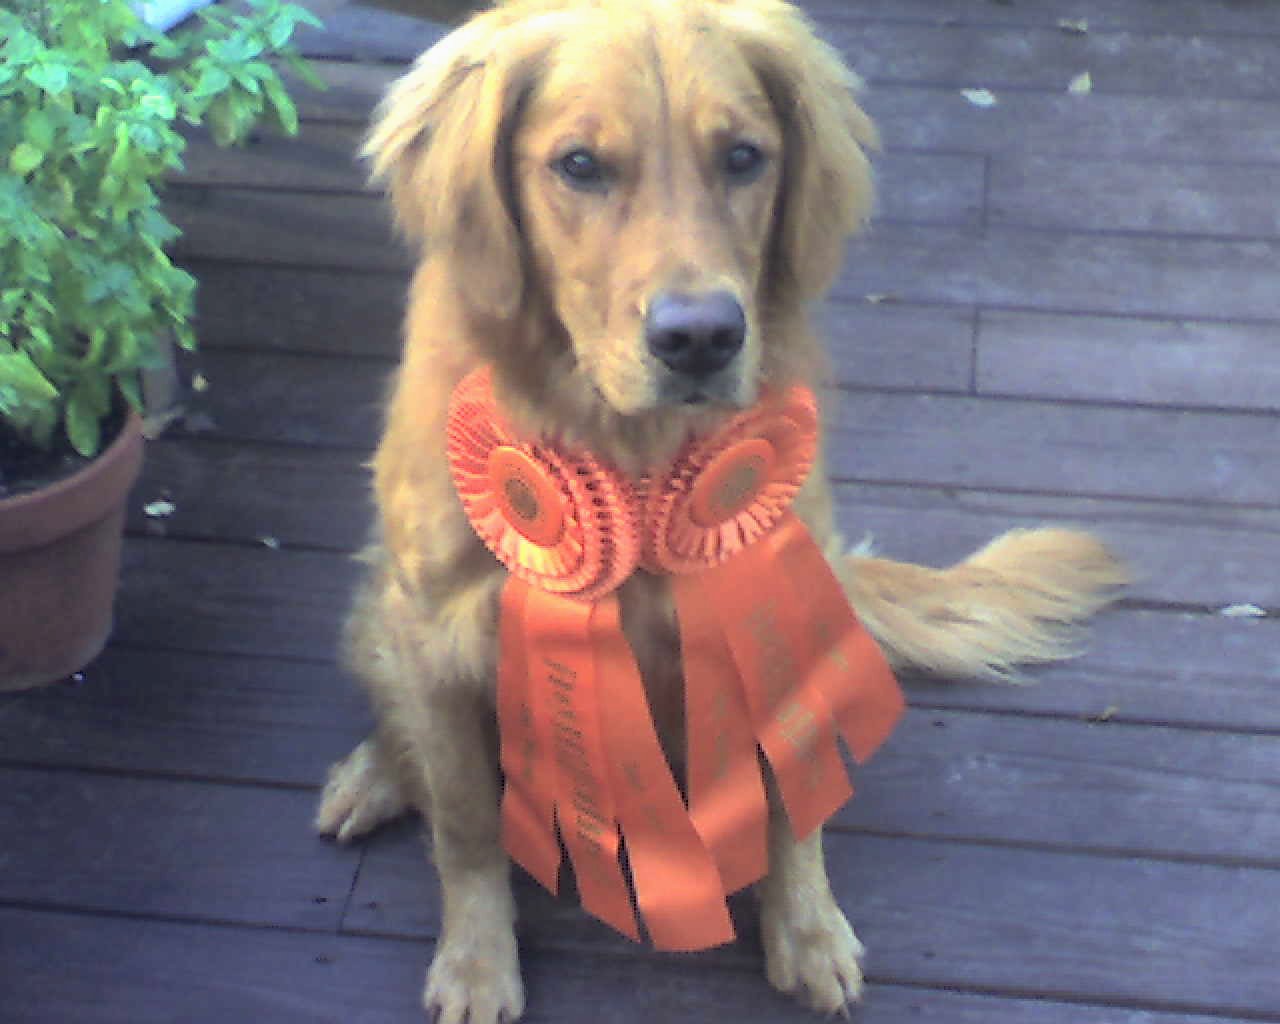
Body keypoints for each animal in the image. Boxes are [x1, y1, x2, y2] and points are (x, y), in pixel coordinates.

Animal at [314, 4, 1126, 1018]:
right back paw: (373, 776)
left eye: (743, 157)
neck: (628, 448)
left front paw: (807, 931)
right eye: (579, 164)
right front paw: (476, 962)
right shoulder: (436, 625)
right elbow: (465, 819)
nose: (700, 337)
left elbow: (790, 807)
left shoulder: (770, 616)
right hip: (379, 608)